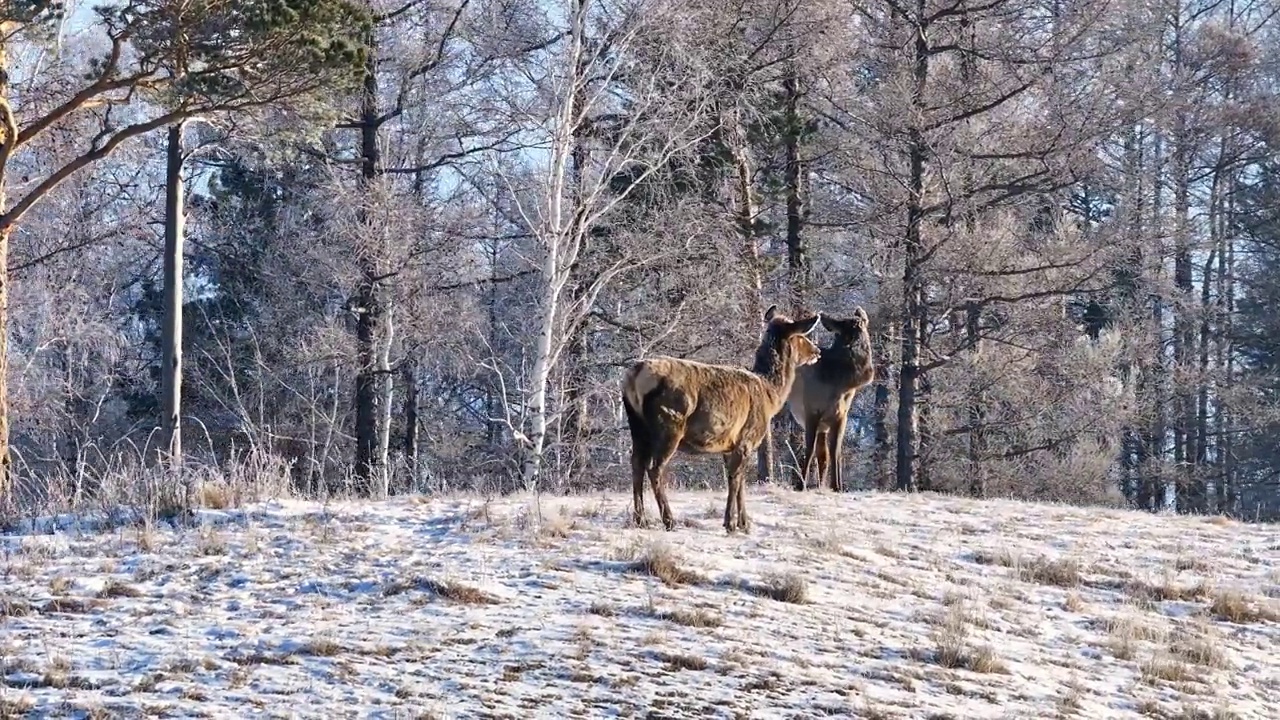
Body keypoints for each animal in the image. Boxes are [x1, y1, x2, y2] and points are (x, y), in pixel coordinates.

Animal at [619, 302, 819, 532]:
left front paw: (744, 523)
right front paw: (731, 523)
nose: (817, 351)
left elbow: (740, 481)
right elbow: (734, 479)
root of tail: (633, 376)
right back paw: (669, 520)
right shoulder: (747, 438)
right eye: (801, 336)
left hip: (636, 424)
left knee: (636, 463)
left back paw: (640, 519)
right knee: (654, 468)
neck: (770, 395)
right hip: (669, 422)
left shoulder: (729, 444)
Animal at [783, 304, 875, 489]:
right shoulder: (811, 410)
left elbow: (835, 452)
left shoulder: (842, 416)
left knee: (823, 456)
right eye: (845, 332)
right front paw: (801, 485)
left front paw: (837, 486)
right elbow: (809, 449)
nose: (868, 371)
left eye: (863, 326)